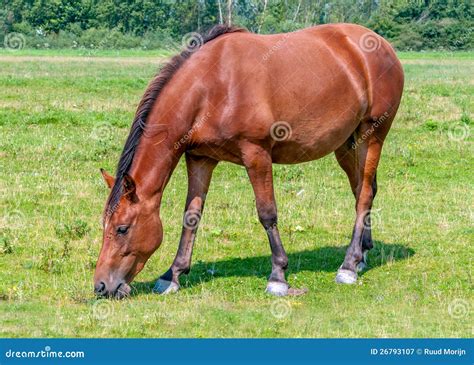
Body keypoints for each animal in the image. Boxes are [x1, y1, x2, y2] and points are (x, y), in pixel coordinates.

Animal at [93, 22, 404, 298]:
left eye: (122, 228)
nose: (101, 286)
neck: (211, 87)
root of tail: (380, 45)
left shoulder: (256, 153)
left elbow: (267, 213)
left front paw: (278, 276)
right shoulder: (200, 158)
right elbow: (191, 215)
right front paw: (173, 275)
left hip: (372, 136)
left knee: (364, 194)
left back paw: (349, 265)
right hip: (346, 145)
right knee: (362, 190)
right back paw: (362, 254)